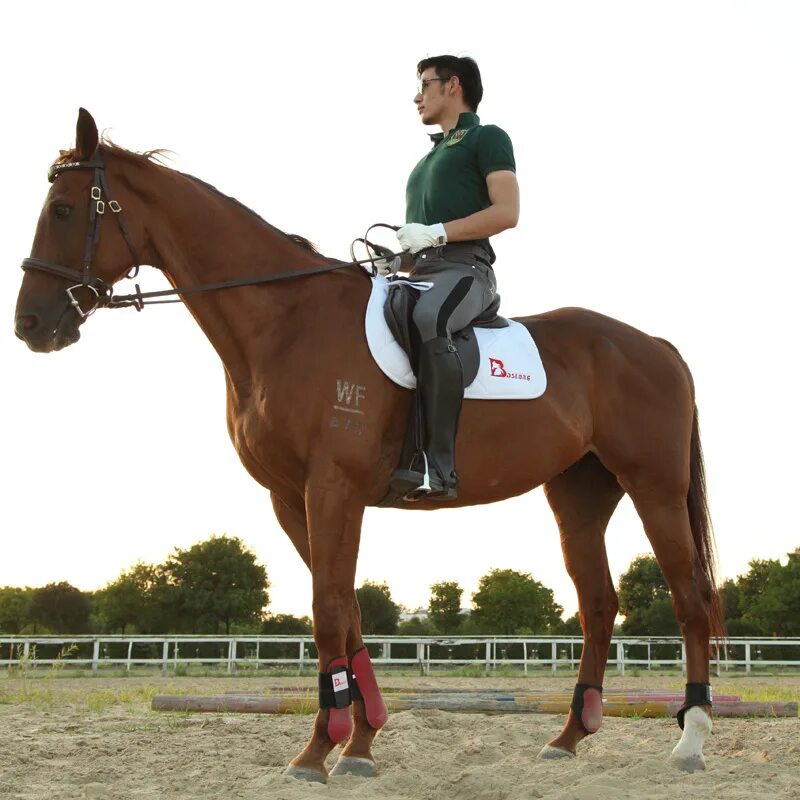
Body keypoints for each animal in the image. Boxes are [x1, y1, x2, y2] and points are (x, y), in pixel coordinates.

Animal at [14, 109, 724, 780]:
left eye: (64, 209)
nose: (30, 324)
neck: (285, 322)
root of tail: (653, 344)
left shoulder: (333, 487)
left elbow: (328, 611)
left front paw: (317, 751)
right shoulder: (291, 497)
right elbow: (347, 608)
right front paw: (360, 740)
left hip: (655, 488)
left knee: (690, 600)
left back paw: (691, 738)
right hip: (579, 495)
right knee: (598, 606)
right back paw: (570, 736)